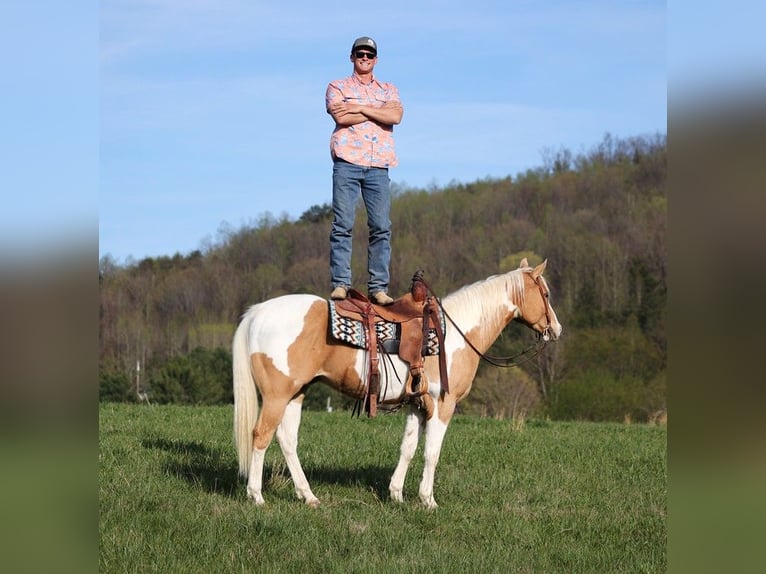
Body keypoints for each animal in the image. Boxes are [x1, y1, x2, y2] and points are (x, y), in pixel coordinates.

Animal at [231, 260, 560, 508]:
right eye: (545, 294)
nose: (555, 329)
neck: (456, 333)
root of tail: (258, 312)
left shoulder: (417, 405)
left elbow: (408, 448)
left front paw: (397, 495)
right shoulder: (443, 404)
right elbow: (431, 452)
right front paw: (428, 500)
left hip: (296, 393)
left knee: (287, 440)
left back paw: (308, 496)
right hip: (277, 395)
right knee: (261, 436)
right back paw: (257, 496)